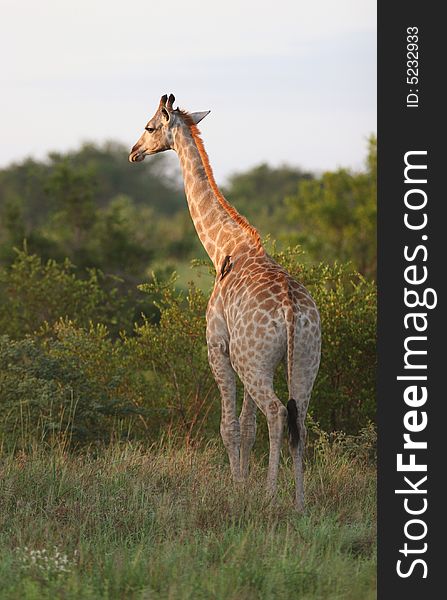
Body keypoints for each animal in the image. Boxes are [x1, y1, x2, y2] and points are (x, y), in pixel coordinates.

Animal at [130, 95, 322, 510]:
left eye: (150, 126)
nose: (134, 152)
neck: (223, 247)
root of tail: (291, 310)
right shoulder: (243, 354)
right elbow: (247, 427)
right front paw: (244, 482)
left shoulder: (218, 346)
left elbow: (229, 426)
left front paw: (238, 488)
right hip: (303, 359)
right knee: (298, 416)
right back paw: (299, 502)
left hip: (255, 361)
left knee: (277, 413)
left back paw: (271, 496)